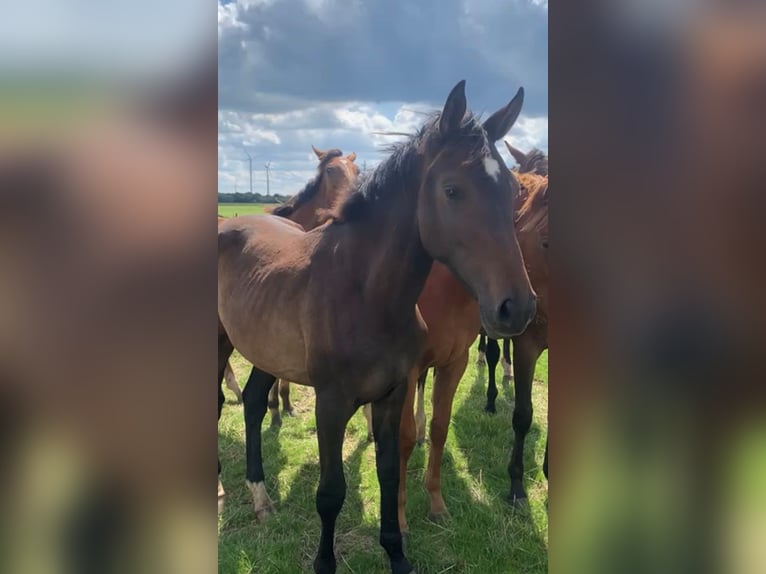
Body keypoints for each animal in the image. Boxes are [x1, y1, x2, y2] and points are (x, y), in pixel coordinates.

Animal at [219, 82, 536, 574]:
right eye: (452, 190)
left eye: (513, 189)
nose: (516, 307)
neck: (365, 293)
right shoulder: (331, 403)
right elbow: (331, 491)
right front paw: (325, 563)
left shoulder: (393, 392)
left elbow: (390, 468)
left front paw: (397, 552)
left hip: (266, 352)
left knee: (253, 402)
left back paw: (261, 498)